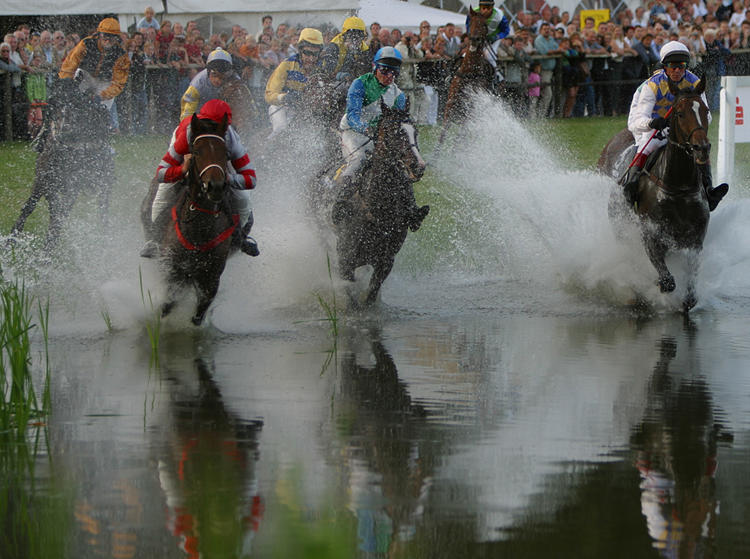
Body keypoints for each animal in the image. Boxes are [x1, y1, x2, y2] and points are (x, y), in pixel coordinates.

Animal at [10, 73, 114, 248]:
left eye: (76, 101)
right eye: (53, 102)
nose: (65, 131)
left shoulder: (74, 186)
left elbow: (59, 215)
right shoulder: (43, 178)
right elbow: (37, 206)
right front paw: (13, 235)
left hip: (102, 183)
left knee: (103, 210)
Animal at [332, 103, 426, 308]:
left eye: (415, 131)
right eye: (395, 131)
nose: (418, 166)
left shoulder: (386, 261)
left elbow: (371, 294)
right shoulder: (345, 261)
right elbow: (351, 295)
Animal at [434, 8, 500, 153]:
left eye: (485, 25)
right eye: (471, 23)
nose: (475, 39)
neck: (469, 71)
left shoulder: (469, 114)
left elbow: (458, 139)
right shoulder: (450, 108)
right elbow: (442, 135)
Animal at [604, 80, 712, 312]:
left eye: (705, 110)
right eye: (679, 113)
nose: (702, 148)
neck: (678, 187)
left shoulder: (695, 239)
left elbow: (690, 294)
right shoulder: (650, 234)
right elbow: (667, 281)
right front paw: (656, 286)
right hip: (620, 225)